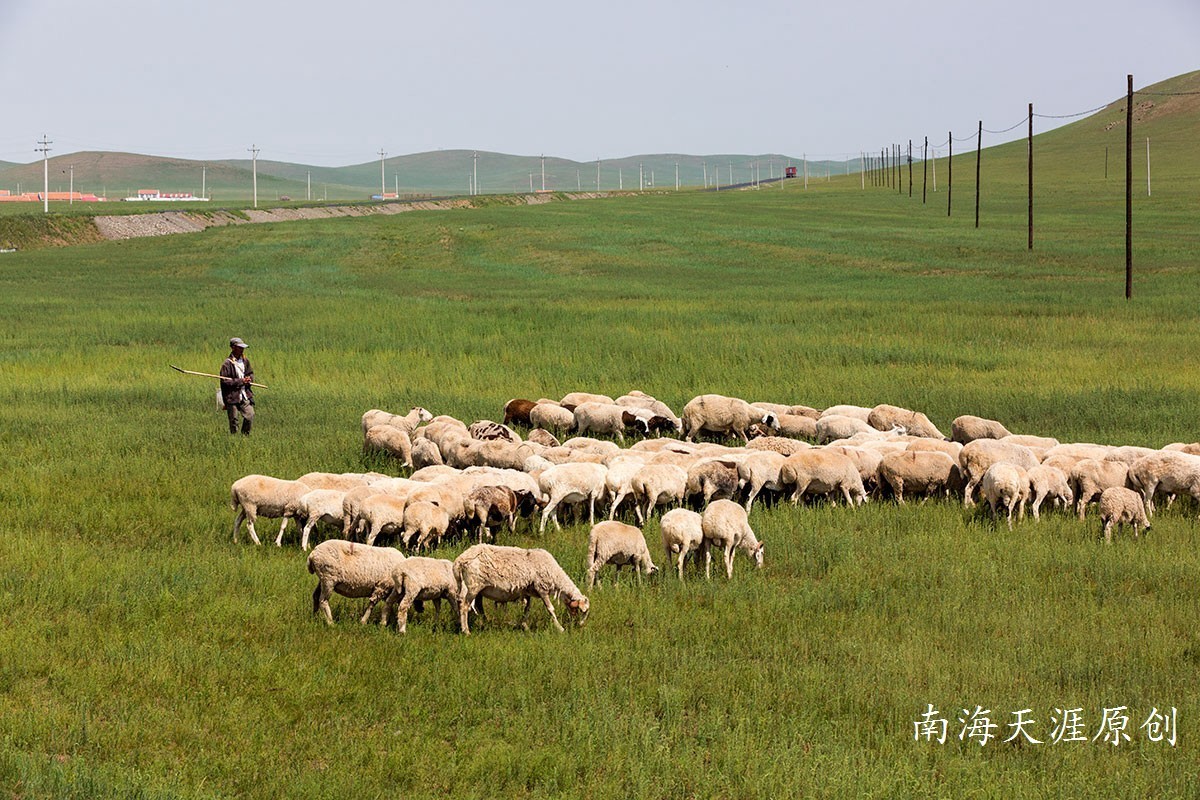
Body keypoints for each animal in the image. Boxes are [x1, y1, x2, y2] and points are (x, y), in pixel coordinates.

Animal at [453, 542, 590, 633]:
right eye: (582, 611)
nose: (580, 626)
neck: (555, 575)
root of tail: (460, 560)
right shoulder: (542, 588)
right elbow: (550, 609)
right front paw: (560, 628)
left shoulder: (527, 591)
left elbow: (527, 609)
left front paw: (524, 626)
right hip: (474, 586)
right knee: (464, 606)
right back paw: (466, 631)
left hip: (480, 590)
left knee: (478, 606)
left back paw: (486, 624)